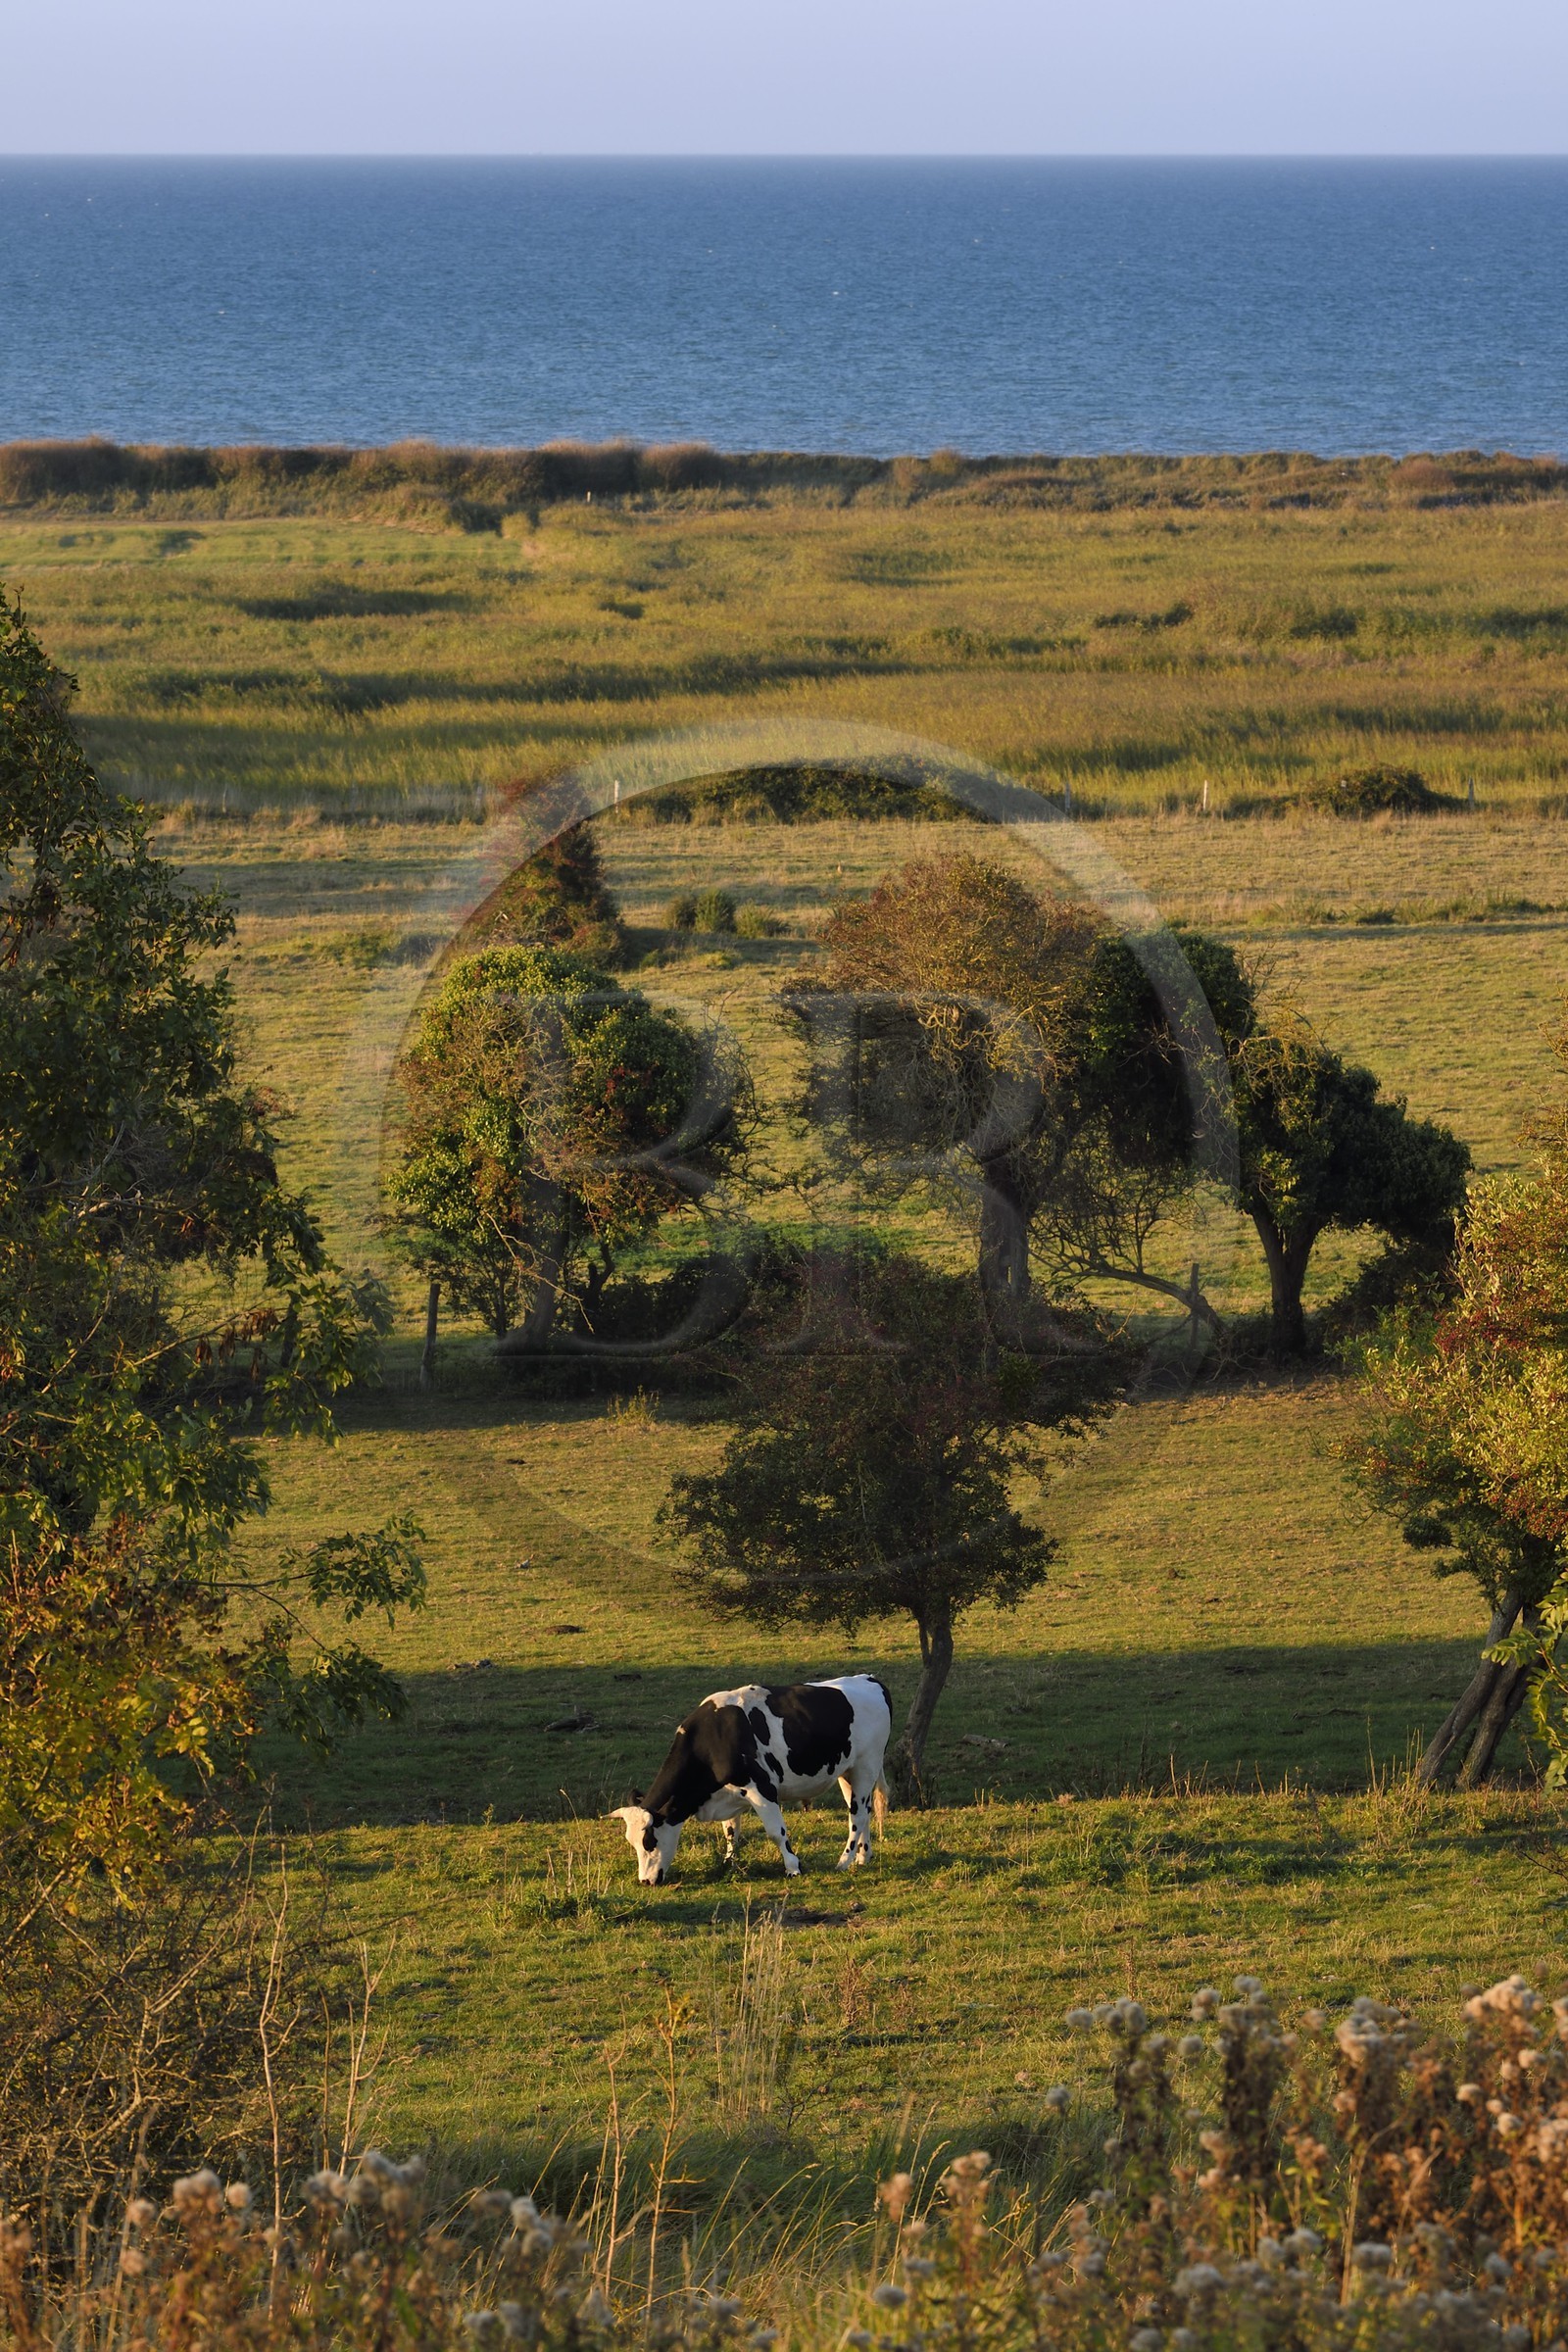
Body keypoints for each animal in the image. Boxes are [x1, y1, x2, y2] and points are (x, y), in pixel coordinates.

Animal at [609, 1674, 892, 1886]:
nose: (645, 1881)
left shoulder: (761, 1788)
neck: (715, 1737)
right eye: (631, 1842)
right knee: (864, 1811)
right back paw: (863, 1857)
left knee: (857, 1815)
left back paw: (843, 1862)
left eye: (650, 1842)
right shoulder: (729, 1792)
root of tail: (869, 1679)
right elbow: (731, 1832)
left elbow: (776, 1832)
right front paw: (729, 1862)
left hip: (867, 1764)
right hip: (848, 1771)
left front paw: (793, 1867)